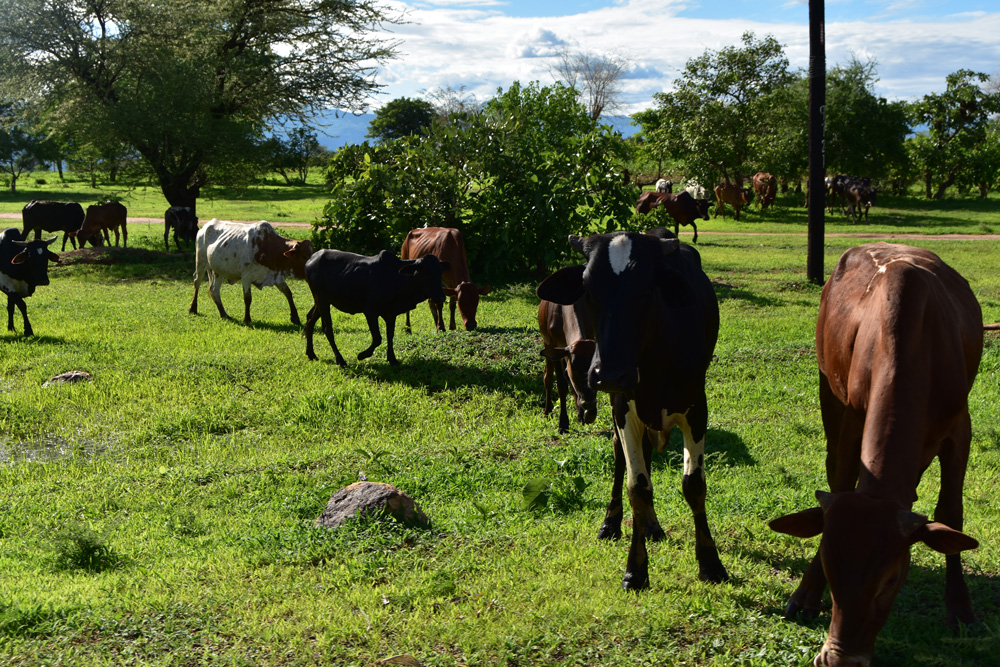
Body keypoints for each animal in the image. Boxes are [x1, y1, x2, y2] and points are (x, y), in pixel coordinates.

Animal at [302, 249, 450, 366]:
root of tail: (312, 258)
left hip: (321, 301)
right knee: (327, 329)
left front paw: (392, 359)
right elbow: (378, 338)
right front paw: (362, 355)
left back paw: (311, 354)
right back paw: (340, 360)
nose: (441, 297)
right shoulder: (370, 311)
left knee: (310, 320)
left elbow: (390, 335)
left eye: (440, 272)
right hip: (322, 300)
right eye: (425, 273)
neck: (397, 277)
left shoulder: (391, 313)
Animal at [538, 298, 598, 434]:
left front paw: (588, 414)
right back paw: (547, 410)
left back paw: (580, 415)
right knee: (548, 377)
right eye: (574, 368)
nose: (588, 403)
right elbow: (561, 385)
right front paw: (563, 423)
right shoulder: (554, 345)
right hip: (546, 343)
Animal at [769, 243, 982, 667]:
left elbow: (951, 513)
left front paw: (960, 609)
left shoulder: (959, 427)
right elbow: (838, 485)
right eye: (829, 566)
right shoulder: (853, 417)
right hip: (827, 386)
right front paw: (807, 593)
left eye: (892, 579)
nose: (840, 659)